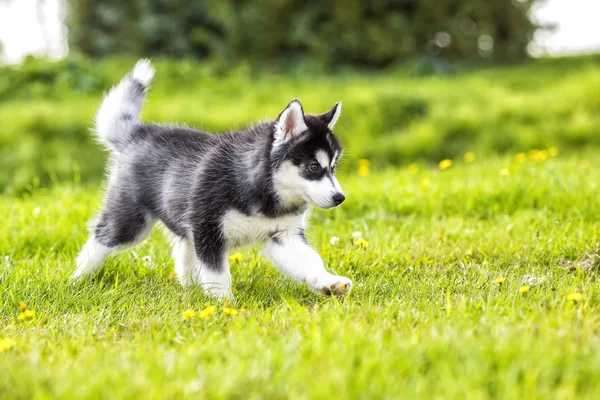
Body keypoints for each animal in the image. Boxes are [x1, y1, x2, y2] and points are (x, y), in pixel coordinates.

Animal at [74, 57, 352, 298]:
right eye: (314, 167)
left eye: (333, 167)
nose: (340, 198)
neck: (263, 190)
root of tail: (140, 132)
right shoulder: (208, 230)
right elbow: (217, 273)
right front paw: (224, 303)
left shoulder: (283, 233)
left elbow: (309, 260)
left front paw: (328, 281)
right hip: (131, 221)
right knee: (101, 237)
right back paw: (78, 278)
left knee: (183, 249)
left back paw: (189, 288)